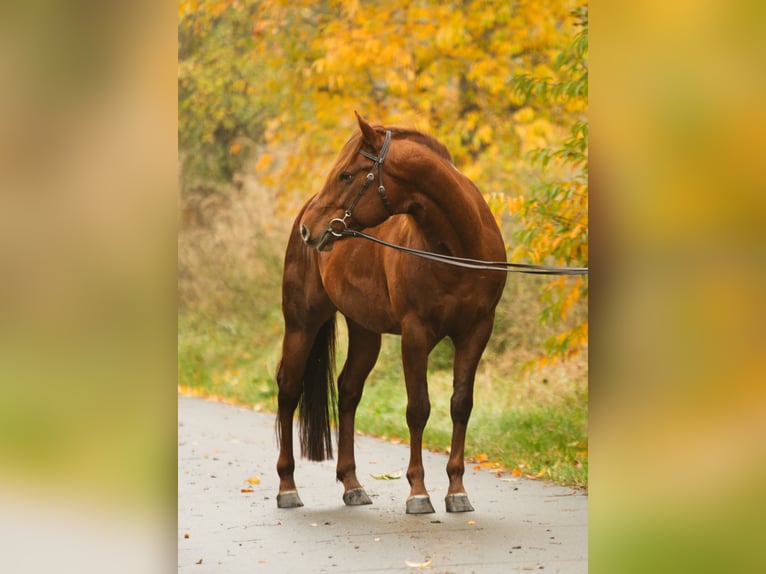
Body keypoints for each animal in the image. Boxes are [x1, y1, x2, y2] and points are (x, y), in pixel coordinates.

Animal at [276, 113, 510, 516]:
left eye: (346, 175)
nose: (310, 228)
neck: (458, 250)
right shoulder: (416, 335)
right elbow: (418, 408)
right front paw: (418, 492)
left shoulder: (476, 332)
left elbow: (461, 405)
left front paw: (456, 490)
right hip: (301, 324)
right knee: (288, 390)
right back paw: (287, 486)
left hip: (365, 332)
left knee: (348, 391)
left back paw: (352, 485)